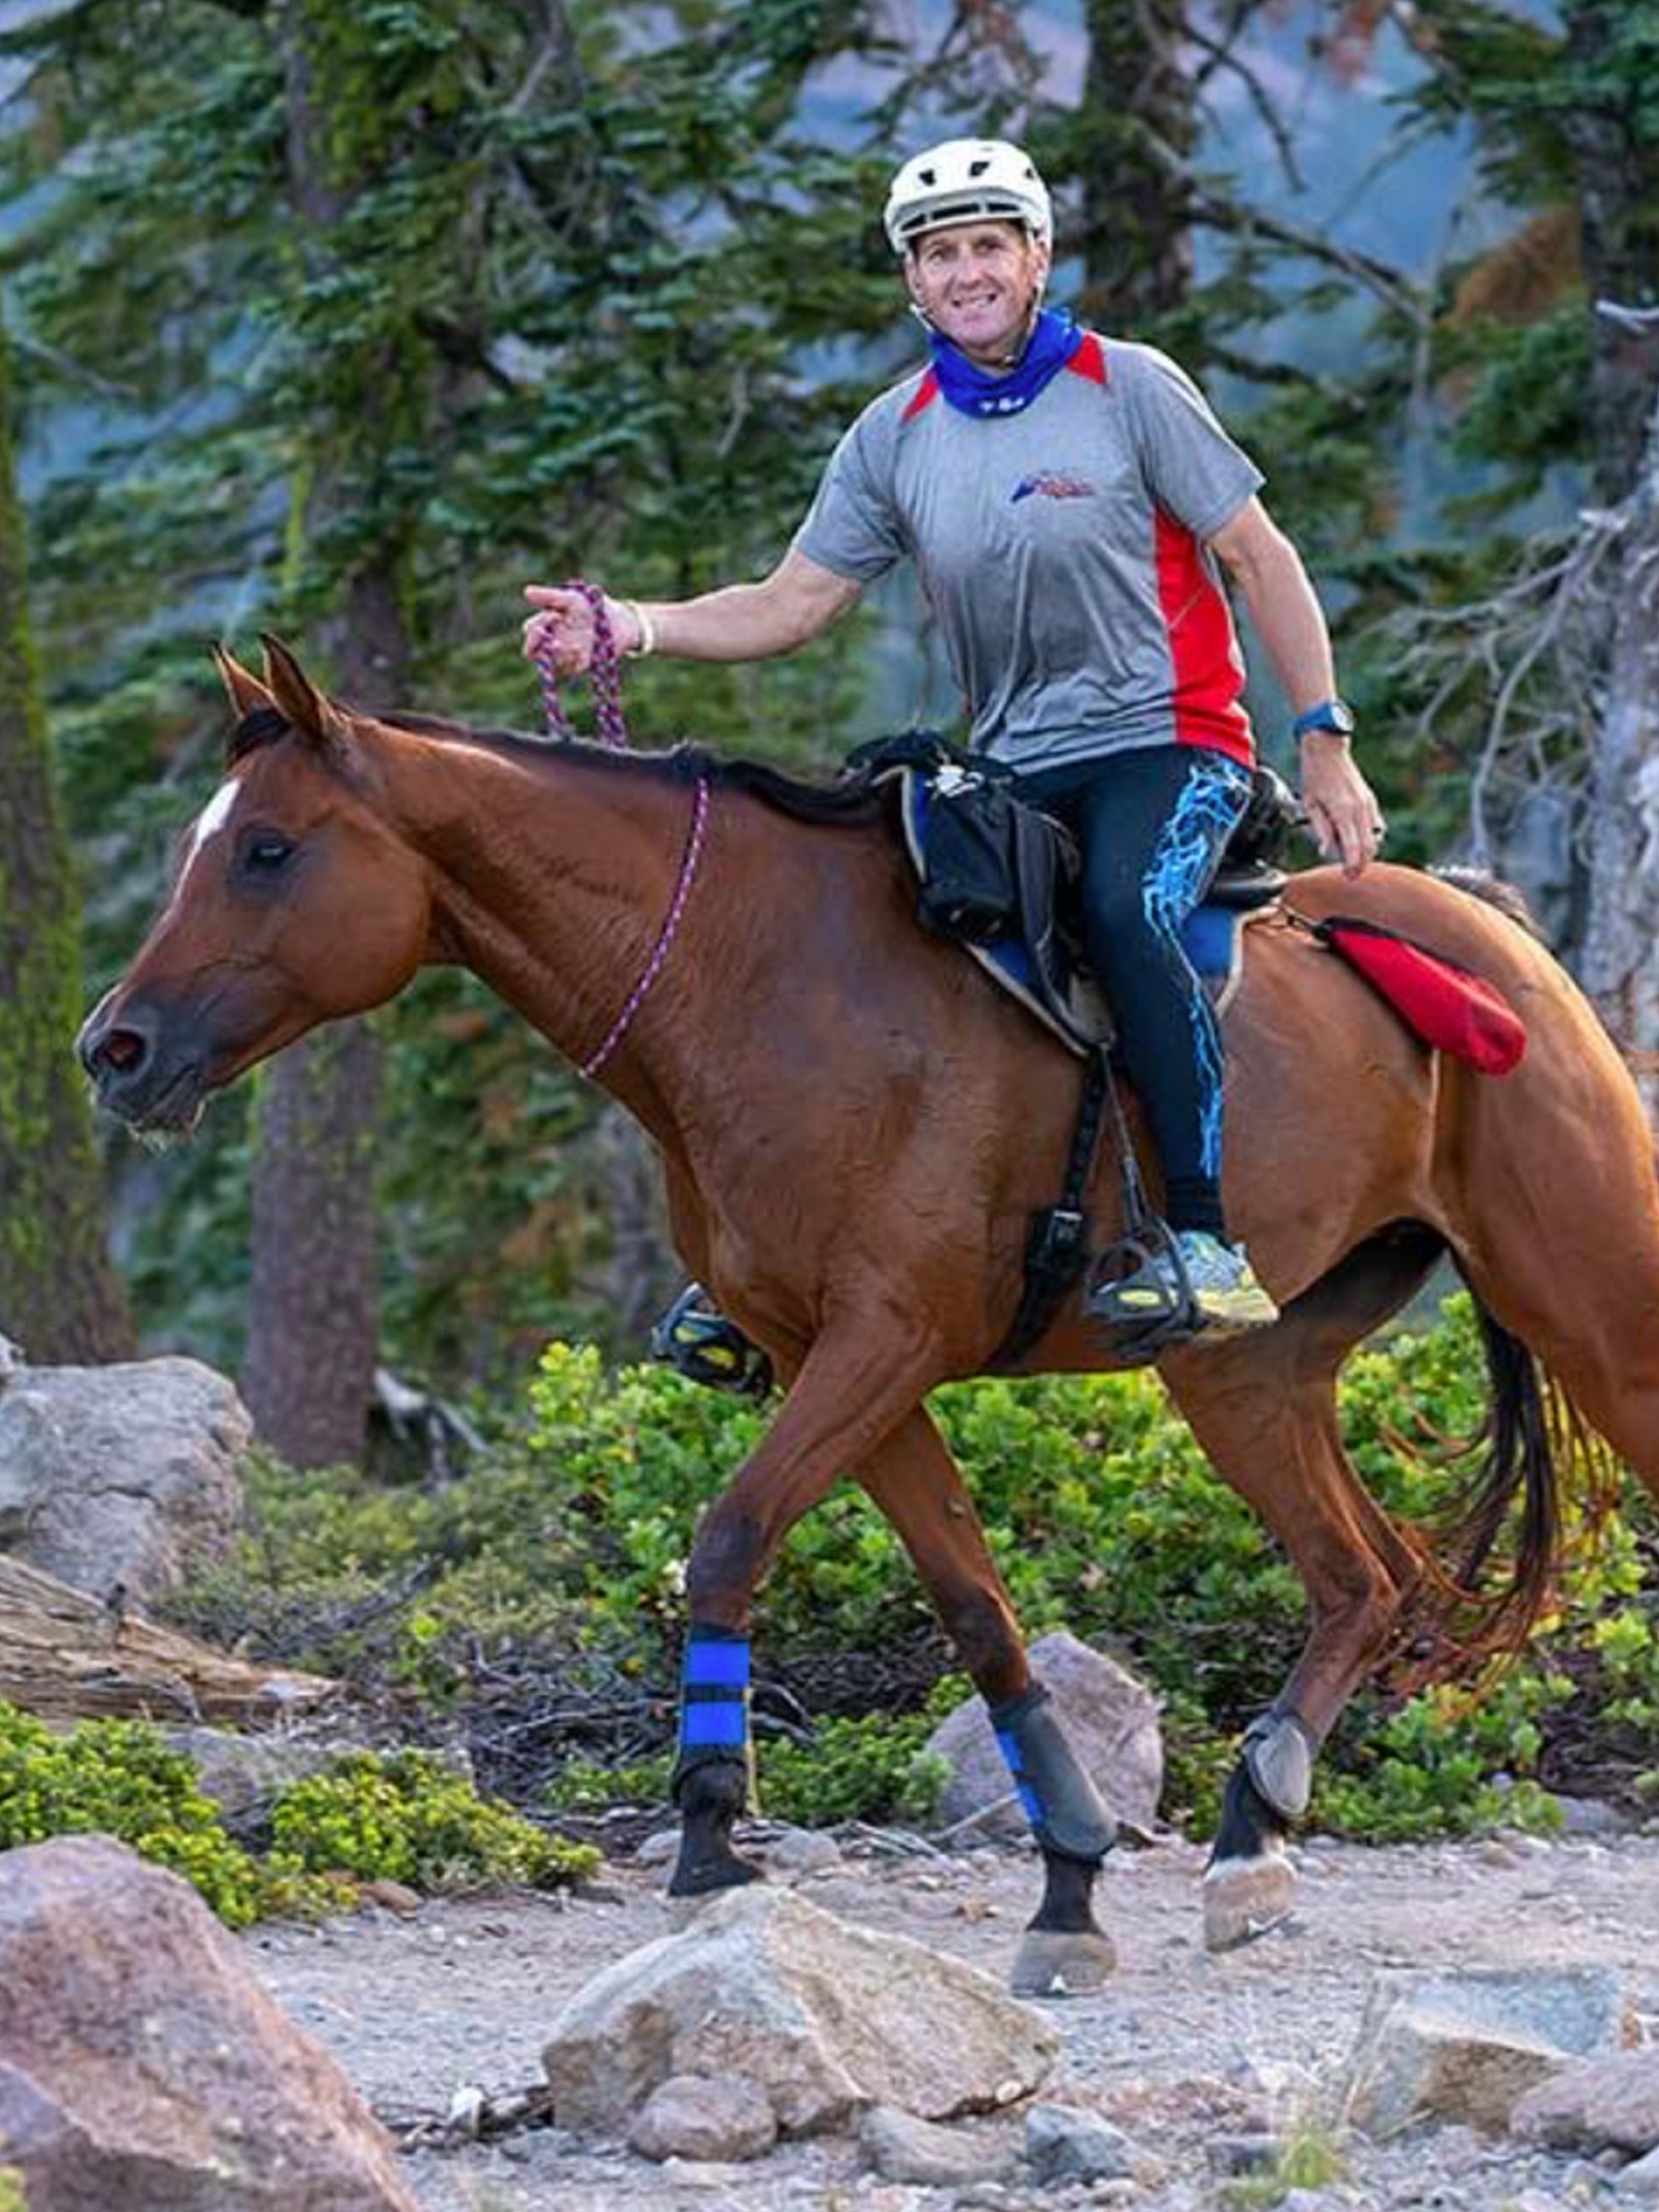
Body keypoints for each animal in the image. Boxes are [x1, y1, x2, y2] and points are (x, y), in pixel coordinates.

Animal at [81, 641, 1659, 1991]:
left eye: (268, 850)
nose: (116, 1048)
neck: (756, 984)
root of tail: (1495, 931)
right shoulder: (844, 1361)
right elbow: (977, 1610)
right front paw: (1069, 1883)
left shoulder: (881, 1342)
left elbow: (729, 1539)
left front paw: (711, 1839)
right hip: (1246, 1375)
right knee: (1366, 1581)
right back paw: (1250, 1840)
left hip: (1590, 1303)